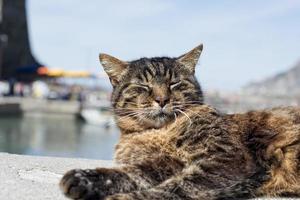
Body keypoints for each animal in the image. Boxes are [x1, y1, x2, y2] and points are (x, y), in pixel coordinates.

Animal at [59, 44, 298, 199]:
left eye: (174, 83)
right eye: (143, 86)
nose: (162, 99)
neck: (159, 132)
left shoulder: (228, 159)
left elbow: (177, 188)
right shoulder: (164, 163)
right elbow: (130, 173)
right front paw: (85, 178)